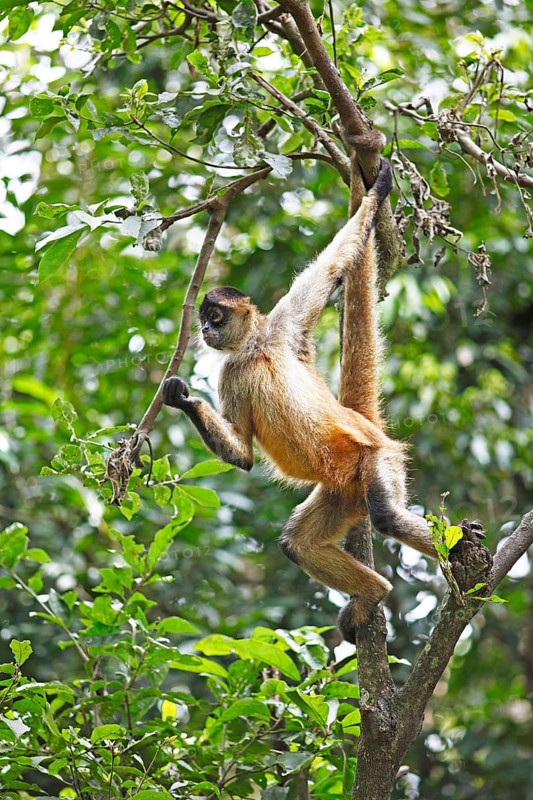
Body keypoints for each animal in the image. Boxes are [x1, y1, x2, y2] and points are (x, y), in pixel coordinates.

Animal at [163, 158, 441, 642]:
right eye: (202, 321)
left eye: (214, 316)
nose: (205, 331)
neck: (256, 350)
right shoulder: (241, 366)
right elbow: (243, 455)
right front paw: (181, 397)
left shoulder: (280, 331)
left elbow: (330, 266)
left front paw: (378, 192)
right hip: (343, 492)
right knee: (296, 543)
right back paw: (376, 592)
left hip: (376, 459)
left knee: (386, 515)